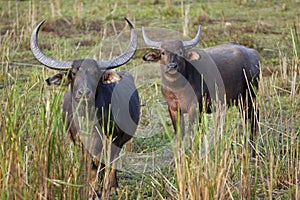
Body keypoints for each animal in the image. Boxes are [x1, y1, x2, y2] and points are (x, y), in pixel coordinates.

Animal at [29, 18, 140, 195]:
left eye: (95, 73)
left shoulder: (111, 139)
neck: (88, 120)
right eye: (74, 73)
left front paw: (107, 188)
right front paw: (91, 190)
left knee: (112, 162)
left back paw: (112, 186)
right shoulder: (79, 143)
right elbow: (91, 167)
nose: (84, 93)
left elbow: (106, 165)